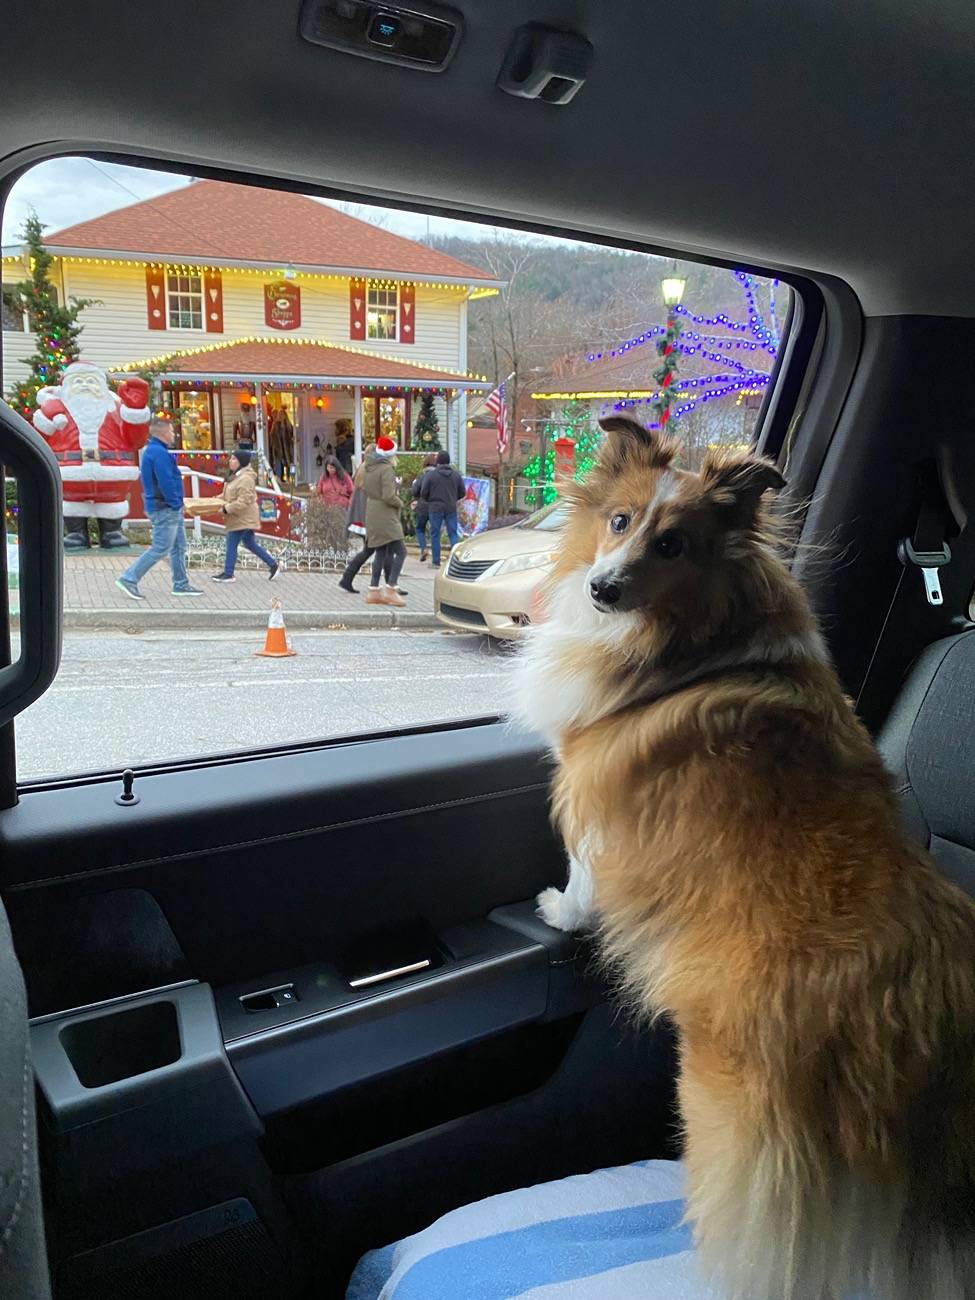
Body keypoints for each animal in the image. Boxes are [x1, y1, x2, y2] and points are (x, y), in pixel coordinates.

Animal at [514, 416, 975, 1300]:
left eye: (673, 545)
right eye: (619, 522)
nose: (602, 590)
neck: (696, 637)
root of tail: (916, 997)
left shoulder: (595, 804)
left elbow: (584, 875)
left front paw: (559, 910)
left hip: (730, 1109)